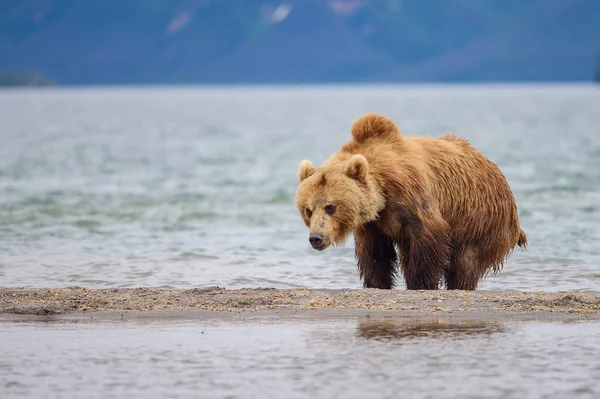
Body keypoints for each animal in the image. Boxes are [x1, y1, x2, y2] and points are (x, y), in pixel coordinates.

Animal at [294, 112, 524, 290]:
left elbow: (429, 237)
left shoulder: (411, 194)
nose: (316, 238)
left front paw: (421, 284)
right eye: (308, 210)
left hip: (478, 215)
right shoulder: (372, 221)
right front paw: (377, 283)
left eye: (330, 207)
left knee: (465, 260)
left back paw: (460, 284)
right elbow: (374, 254)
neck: (382, 191)